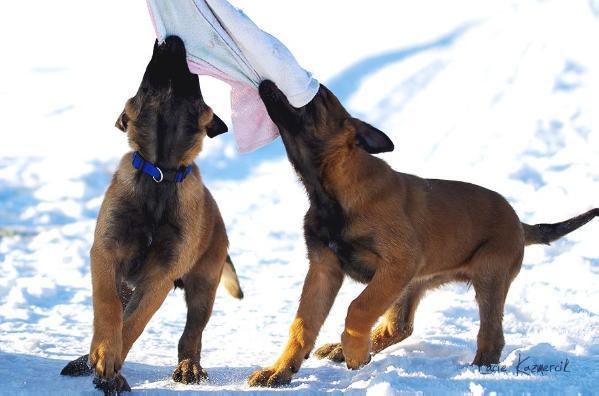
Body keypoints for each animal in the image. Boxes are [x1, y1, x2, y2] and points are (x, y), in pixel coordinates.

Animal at [62, 36, 245, 392]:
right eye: (145, 82)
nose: (169, 40)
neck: (160, 170)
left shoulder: (160, 275)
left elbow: (134, 321)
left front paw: (110, 363)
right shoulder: (105, 254)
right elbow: (107, 308)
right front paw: (102, 355)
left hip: (203, 285)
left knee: (192, 335)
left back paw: (189, 367)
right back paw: (86, 359)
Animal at [247, 79, 596, 386]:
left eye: (316, 96)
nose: (265, 82)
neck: (333, 188)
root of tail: (520, 223)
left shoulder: (397, 262)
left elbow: (358, 307)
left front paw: (355, 352)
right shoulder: (324, 269)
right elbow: (302, 324)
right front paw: (281, 370)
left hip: (488, 275)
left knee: (491, 334)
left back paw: (478, 367)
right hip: (409, 285)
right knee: (398, 328)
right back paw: (340, 349)